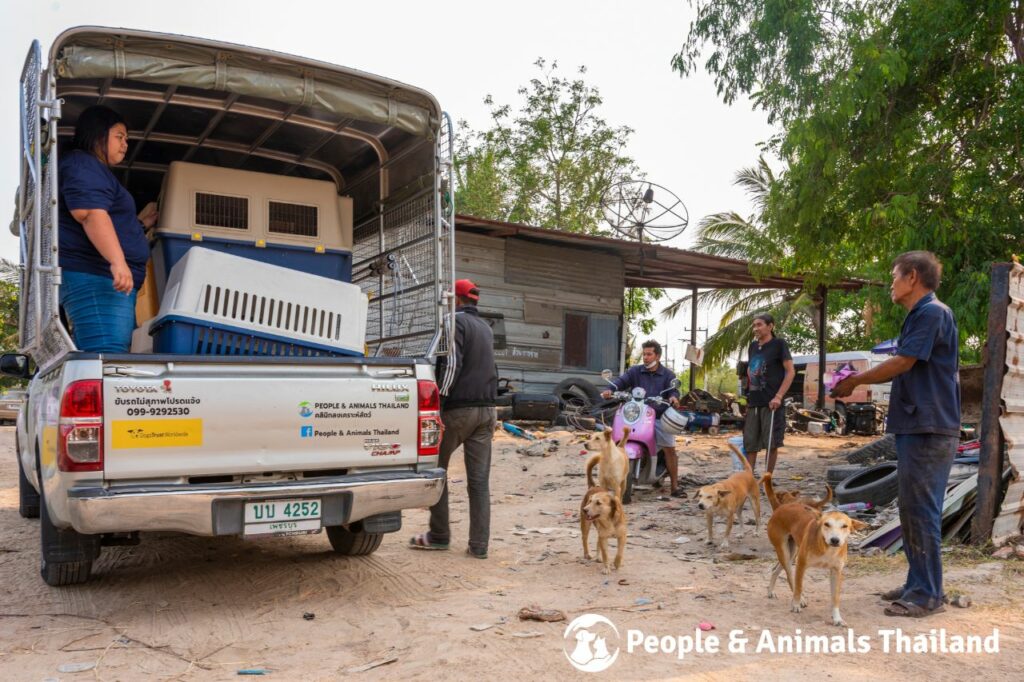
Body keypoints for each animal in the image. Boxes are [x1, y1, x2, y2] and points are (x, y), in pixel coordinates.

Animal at [765, 473, 868, 622]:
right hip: (784, 551)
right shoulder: (801, 565)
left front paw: (837, 618)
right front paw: (796, 604)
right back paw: (799, 600)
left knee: (776, 569)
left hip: (792, 552)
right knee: (790, 576)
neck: (827, 548)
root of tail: (780, 507)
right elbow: (799, 586)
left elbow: (835, 598)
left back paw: (771, 591)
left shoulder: (837, 571)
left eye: (845, 526)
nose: (835, 540)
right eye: (826, 524)